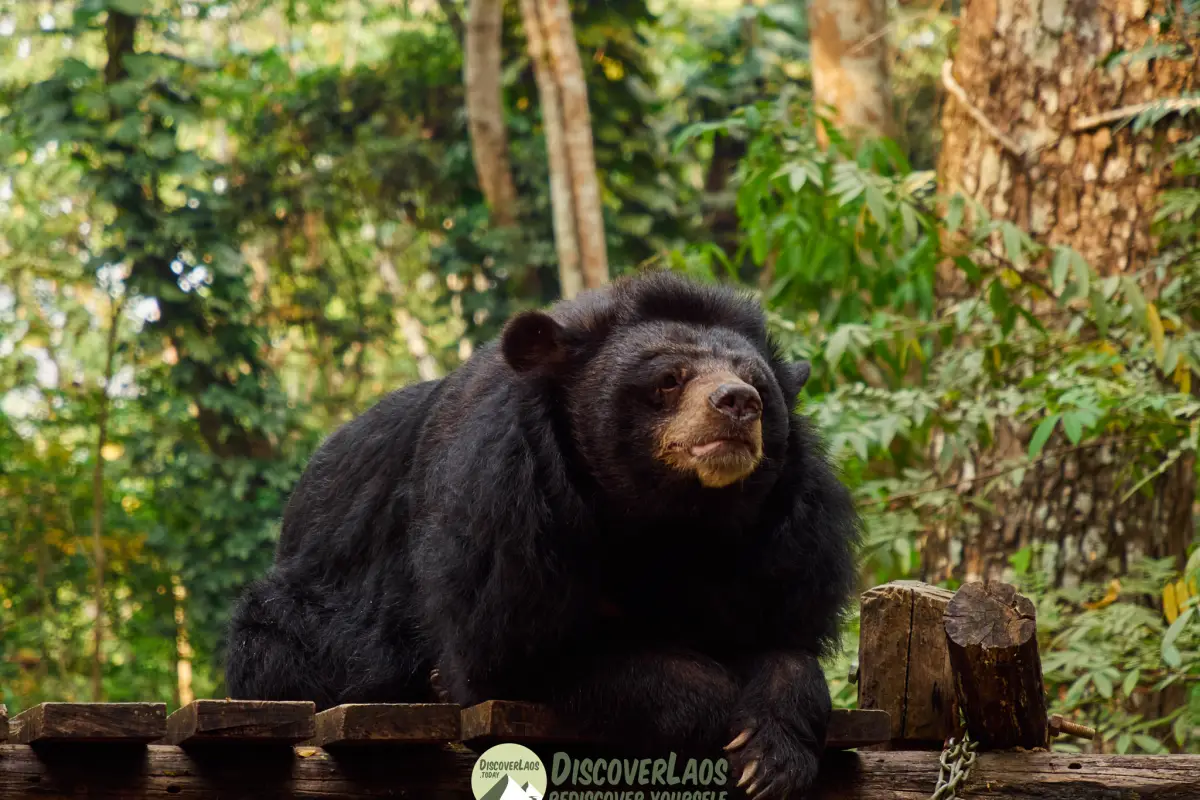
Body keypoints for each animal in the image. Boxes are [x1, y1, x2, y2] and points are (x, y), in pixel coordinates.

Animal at [224, 270, 860, 799]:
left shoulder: (791, 540)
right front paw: (720, 716)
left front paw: (769, 758)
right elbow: (525, 656)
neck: (668, 521)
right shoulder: (504, 520)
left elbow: (785, 639)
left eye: (758, 385)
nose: (738, 402)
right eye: (668, 380)